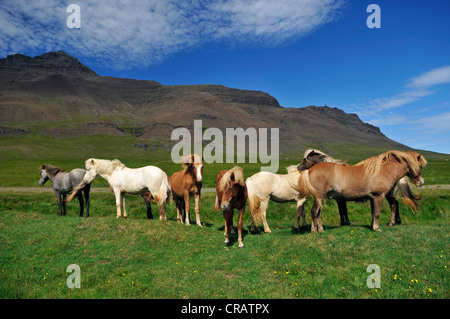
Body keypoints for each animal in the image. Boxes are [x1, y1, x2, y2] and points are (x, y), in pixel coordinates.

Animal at [298, 150, 428, 232]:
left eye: (305, 159)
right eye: (419, 166)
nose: (421, 182)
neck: (383, 170)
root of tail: (310, 171)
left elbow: (372, 212)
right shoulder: (378, 196)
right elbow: (376, 213)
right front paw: (376, 228)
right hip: (319, 197)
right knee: (315, 211)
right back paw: (315, 230)